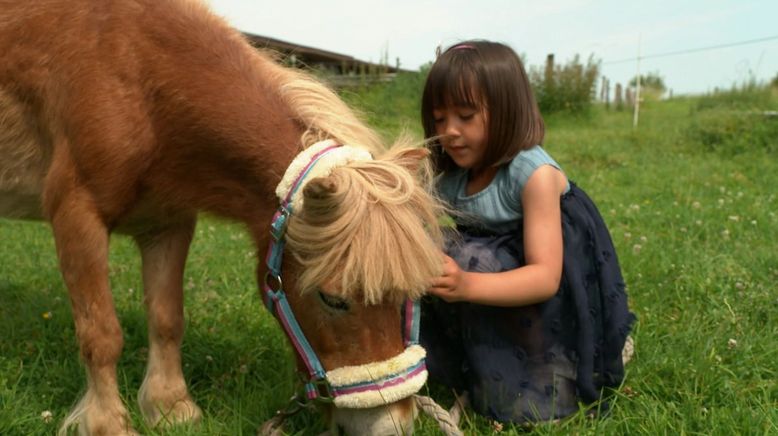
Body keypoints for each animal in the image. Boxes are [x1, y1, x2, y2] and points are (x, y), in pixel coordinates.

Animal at [0, 1, 442, 434]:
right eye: (333, 299)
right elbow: (101, 334)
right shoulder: (78, 217)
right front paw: (108, 423)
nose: (392, 426)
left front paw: (170, 407)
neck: (131, 71)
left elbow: (166, 319)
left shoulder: (168, 224)